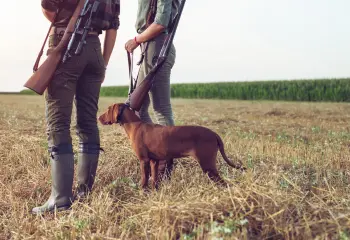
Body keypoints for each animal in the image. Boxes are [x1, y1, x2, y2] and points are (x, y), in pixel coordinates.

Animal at [97, 102, 245, 189]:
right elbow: (154, 179)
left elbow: (144, 179)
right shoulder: (154, 161)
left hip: (207, 163)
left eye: (108, 109)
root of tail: (214, 133)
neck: (135, 125)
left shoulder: (144, 160)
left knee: (223, 183)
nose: (98, 118)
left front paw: (141, 192)